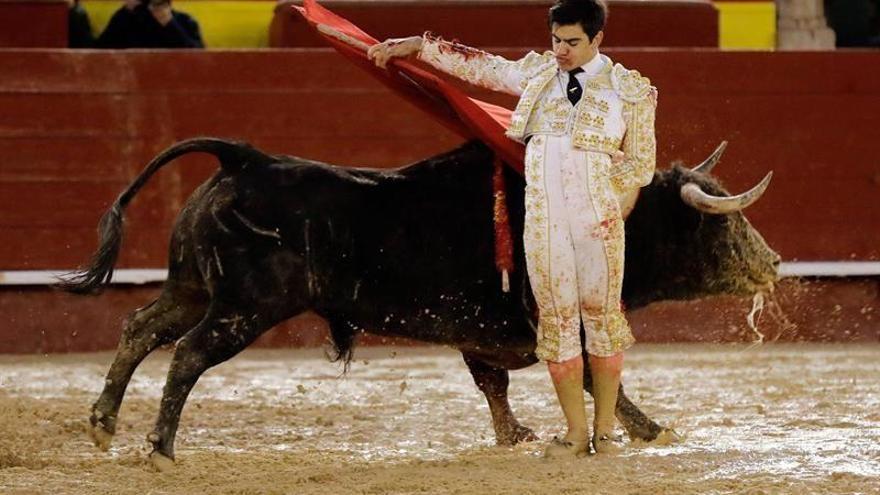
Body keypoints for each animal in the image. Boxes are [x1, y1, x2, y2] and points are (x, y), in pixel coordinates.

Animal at [60, 138, 776, 470]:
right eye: (723, 224)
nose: (772, 263)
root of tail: (243, 160)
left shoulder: (481, 335)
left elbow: (495, 386)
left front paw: (515, 438)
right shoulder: (562, 318)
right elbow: (601, 379)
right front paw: (649, 431)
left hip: (190, 288)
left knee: (140, 328)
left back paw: (102, 423)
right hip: (243, 308)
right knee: (186, 355)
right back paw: (160, 447)